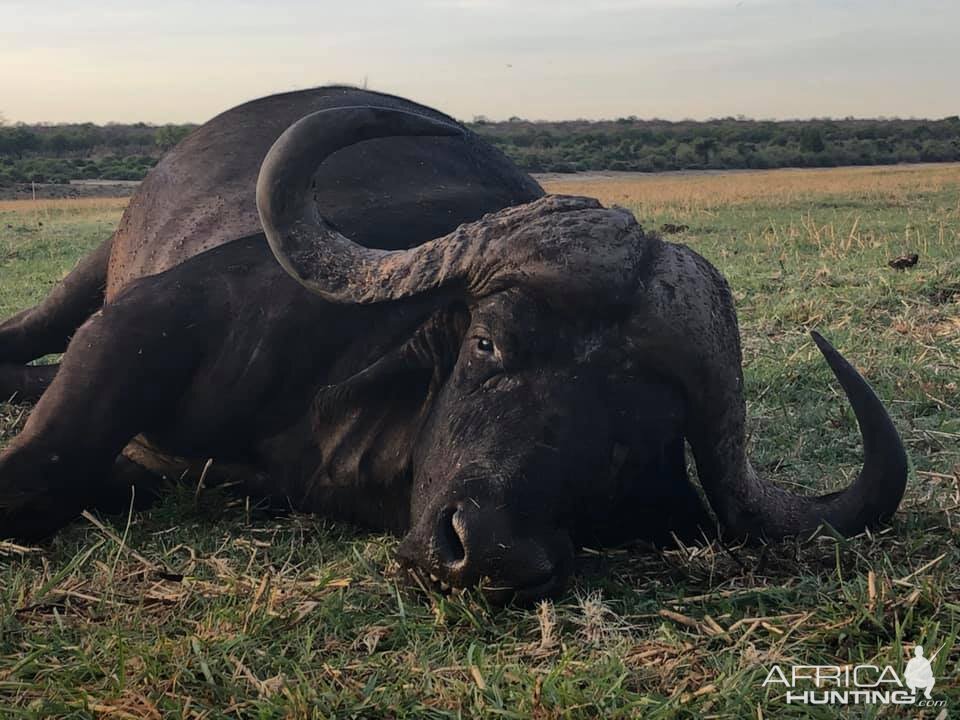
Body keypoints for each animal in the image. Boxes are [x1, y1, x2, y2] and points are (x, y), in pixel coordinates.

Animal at [0, 86, 908, 600]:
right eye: (488, 347)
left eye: (636, 438)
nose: (490, 554)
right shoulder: (147, 322)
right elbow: (36, 477)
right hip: (88, 275)